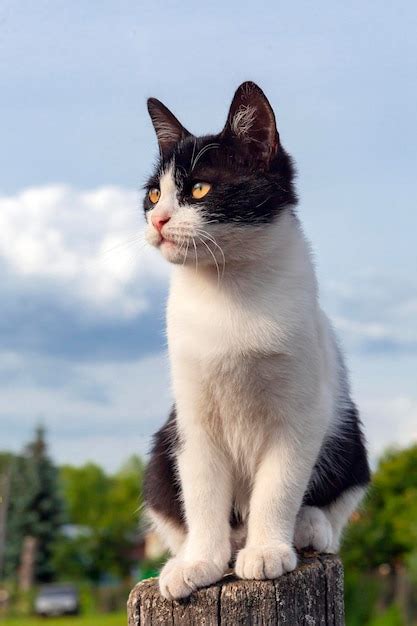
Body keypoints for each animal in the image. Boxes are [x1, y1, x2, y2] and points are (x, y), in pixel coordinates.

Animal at [141, 80, 368, 596]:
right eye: (154, 194)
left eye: (200, 188)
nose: (158, 221)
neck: (230, 295)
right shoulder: (193, 417)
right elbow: (201, 490)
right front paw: (200, 562)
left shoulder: (303, 412)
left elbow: (278, 485)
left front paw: (267, 552)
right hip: (162, 449)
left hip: (348, 434)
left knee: (338, 495)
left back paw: (306, 527)